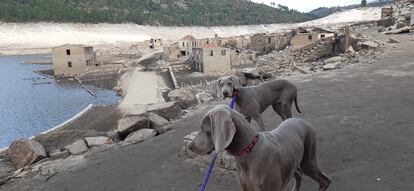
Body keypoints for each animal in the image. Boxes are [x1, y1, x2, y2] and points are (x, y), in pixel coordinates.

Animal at [189, 104, 332, 191]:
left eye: (203, 129)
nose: (189, 146)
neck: (247, 151)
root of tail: (301, 120)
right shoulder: (246, 187)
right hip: (294, 161)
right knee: (299, 175)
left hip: (308, 162)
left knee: (325, 181)